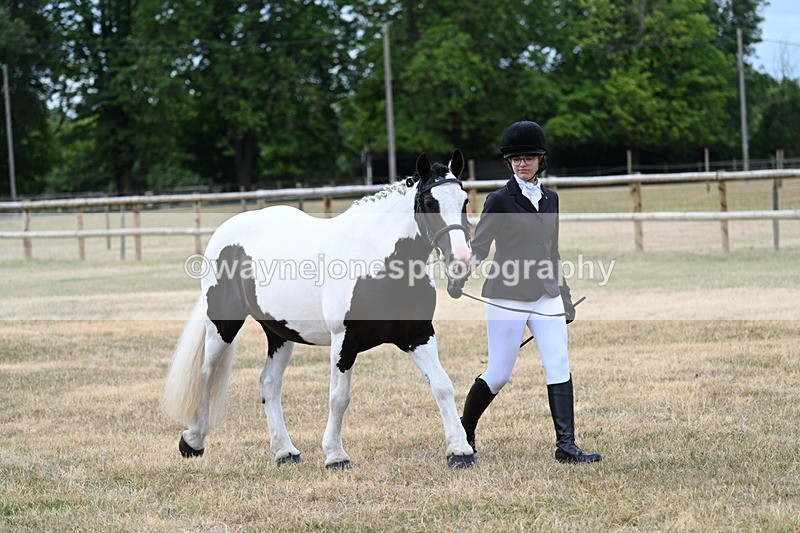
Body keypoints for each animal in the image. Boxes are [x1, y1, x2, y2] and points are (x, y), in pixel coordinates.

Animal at [162, 150, 477, 469]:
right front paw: (335, 455)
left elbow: (442, 385)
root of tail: (225, 231)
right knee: (206, 373)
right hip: (222, 325)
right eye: (430, 204)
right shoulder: (344, 341)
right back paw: (193, 441)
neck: (378, 261)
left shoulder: (418, 335)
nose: (461, 260)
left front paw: (459, 451)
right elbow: (339, 397)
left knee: (269, 384)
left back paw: (285, 451)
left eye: (464, 201)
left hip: (280, 334)